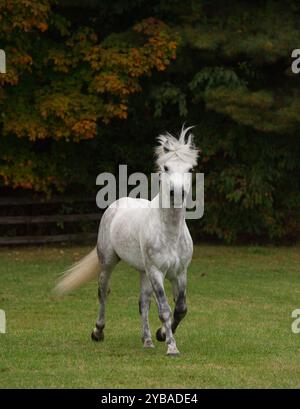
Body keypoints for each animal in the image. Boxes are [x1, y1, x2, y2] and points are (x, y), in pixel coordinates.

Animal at [55, 126, 199, 356]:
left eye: (190, 169)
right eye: (166, 167)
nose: (177, 193)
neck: (170, 232)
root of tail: (116, 205)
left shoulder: (179, 273)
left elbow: (181, 309)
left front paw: (161, 334)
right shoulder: (156, 272)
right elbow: (165, 309)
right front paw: (171, 346)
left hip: (143, 272)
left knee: (143, 303)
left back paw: (147, 341)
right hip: (108, 262)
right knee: (103, 292)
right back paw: (98, 332)